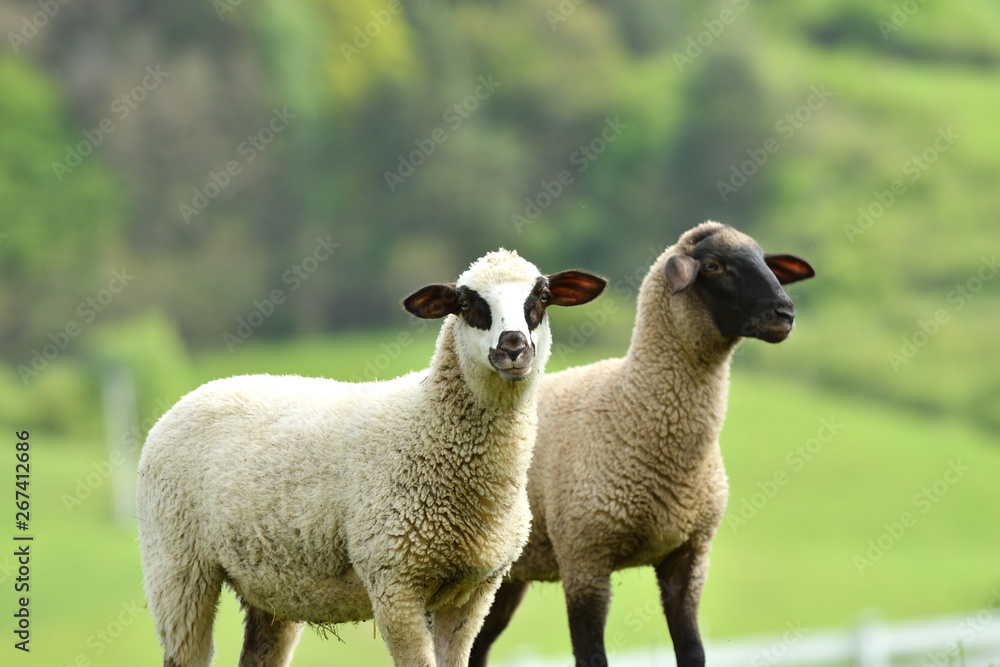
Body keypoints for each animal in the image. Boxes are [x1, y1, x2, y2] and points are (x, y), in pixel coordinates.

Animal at [136, 249, 607, 667]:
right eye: (465, 303)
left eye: (541, 297)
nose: (513, 347)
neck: (427, 426)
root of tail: (198, 392)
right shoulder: (393, 580)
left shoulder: (474, 592)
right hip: (176, 565)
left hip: (270, 586)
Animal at [469, 222, 815, 667]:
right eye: (714, 266)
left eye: (765, 260)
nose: (784, 315)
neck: (633, 406)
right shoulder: (585, 558)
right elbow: (591, 656)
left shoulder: (688, 556)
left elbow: (693, 651)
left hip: (508, 576)